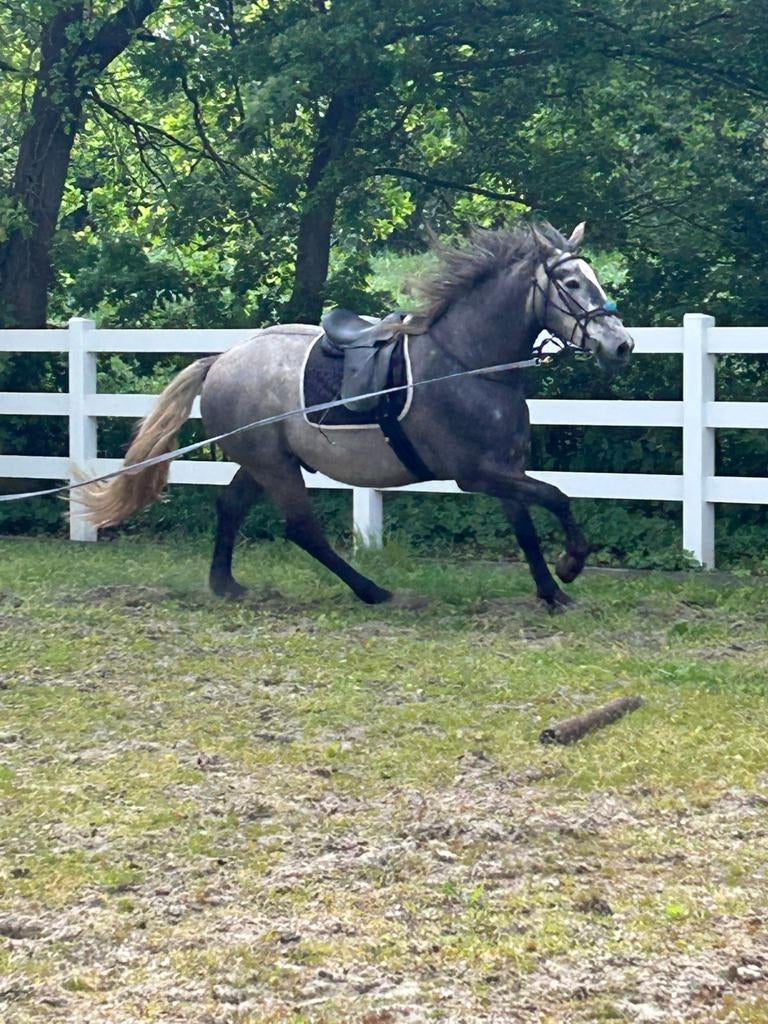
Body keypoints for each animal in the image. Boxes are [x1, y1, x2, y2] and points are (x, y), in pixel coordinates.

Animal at [77, 221, 634, 608]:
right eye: (571, 282)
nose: (622, 345)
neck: (467, 363)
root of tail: (222, 359)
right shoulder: (475, 474)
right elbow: (558, 497)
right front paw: (571, 564)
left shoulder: (504, 470)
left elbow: (527, 527)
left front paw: (552, 591)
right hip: (275, 467)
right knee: (302, 530)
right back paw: (372, 591)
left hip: (264, 462)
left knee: (231, 508)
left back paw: (226, 585)